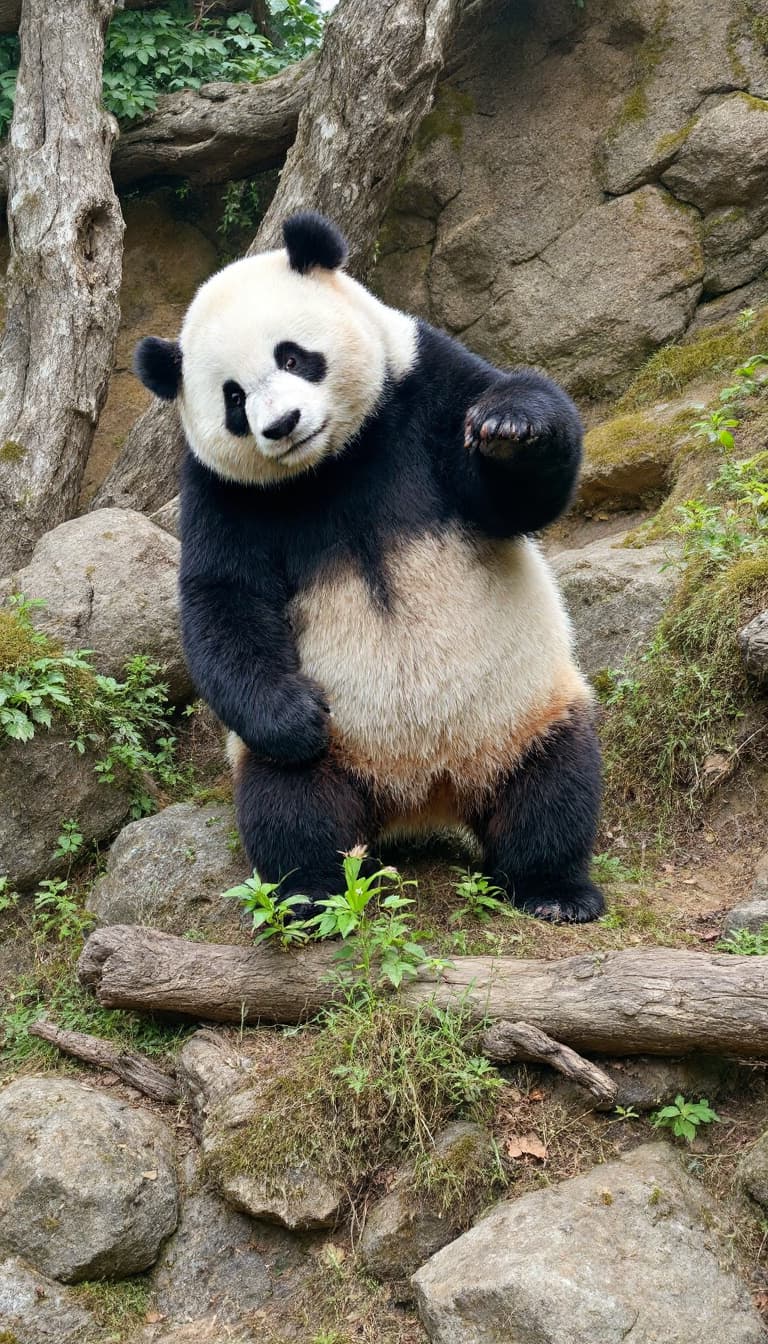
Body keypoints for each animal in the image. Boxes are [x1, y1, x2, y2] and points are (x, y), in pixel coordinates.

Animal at [135, 211, 604, 924]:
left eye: (292, 356)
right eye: (234, 399)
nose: (283, 424)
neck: (331, 462)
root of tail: (426, 793)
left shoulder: (419, 386)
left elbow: (518, 496)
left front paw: (510, 426)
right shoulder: (222, 492)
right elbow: (224, 597)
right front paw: (294, 717)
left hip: (519, 707)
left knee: (555, 781)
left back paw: (554, 889)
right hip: (336, 748)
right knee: (292, 807)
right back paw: (312, 895)